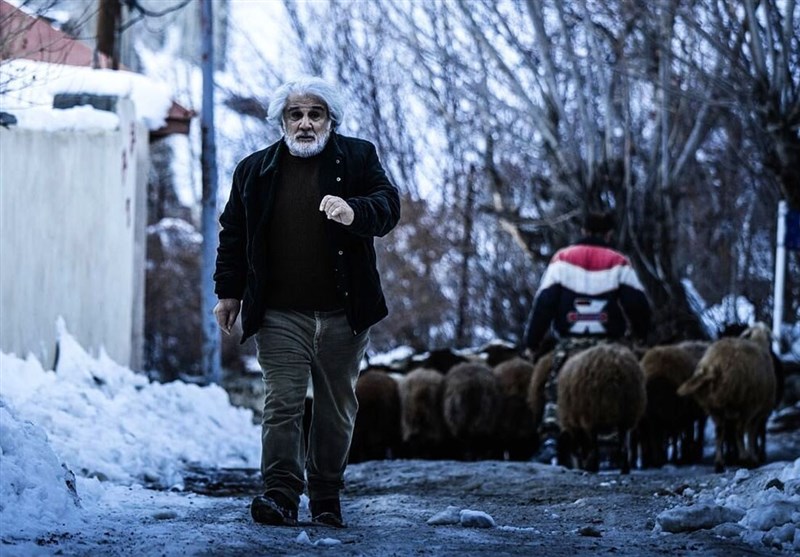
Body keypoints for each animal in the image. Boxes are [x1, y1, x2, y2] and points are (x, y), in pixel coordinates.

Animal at [556, 344, 648, 474]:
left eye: (573, 451)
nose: (579, 467)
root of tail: (617, 364)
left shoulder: (586, 422)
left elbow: (592, 447)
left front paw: (590, 467)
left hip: (593, 413)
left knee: (596, 448)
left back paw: (595, 468)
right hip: (627, 414)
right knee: (624, 446)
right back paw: (624, 469)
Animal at [676, 322, 776, 470]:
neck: (759, 342)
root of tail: (713, 365)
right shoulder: (757, 410)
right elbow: (751, 434)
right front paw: (753, 457)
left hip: (713, 406)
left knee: (719, 432)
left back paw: (719, 463)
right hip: (743, 403)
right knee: (739, 431)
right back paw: (744, 458)